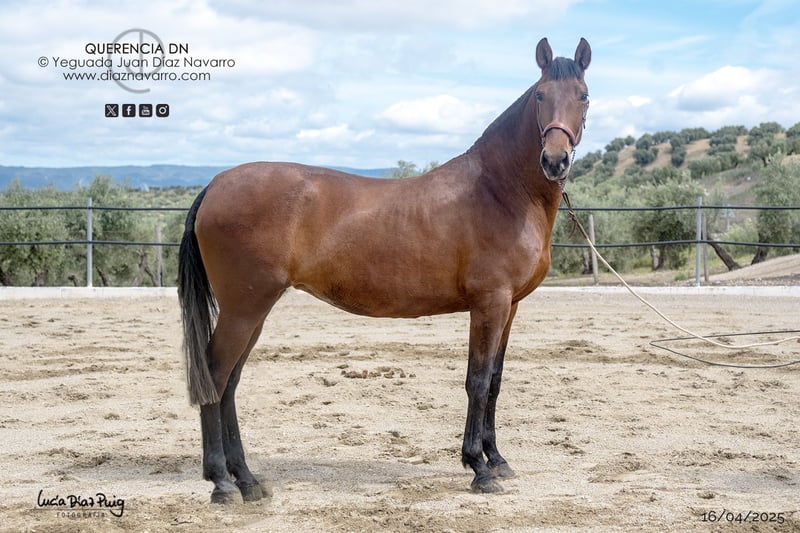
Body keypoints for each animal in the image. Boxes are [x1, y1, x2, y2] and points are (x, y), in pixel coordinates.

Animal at [178, 37, 591, 503]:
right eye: (540, 96)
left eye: (583, 96)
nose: (555, 160)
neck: (499, 190)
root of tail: (215, 184)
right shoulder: (489, 304)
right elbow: (478, 381)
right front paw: (479, 468)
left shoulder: (510, 307)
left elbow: (496, 382)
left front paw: (498, 460)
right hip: (243, 309)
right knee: (215, 376)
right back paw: (221, 482)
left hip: (253, 311)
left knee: (229, 382)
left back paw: (246, 479)